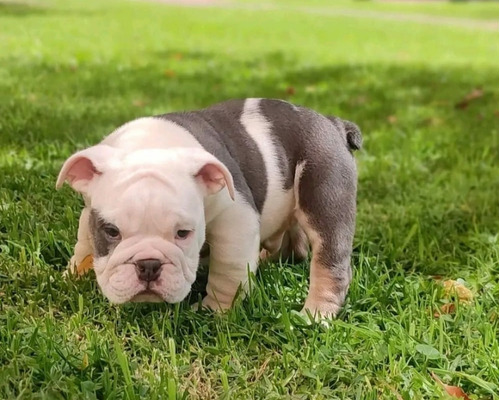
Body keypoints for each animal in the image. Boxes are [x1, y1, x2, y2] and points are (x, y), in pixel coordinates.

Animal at [56, 98, 362, 318]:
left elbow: (228, 270)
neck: (151, 149)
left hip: (324, 189)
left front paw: (215, 310)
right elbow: (84, 244)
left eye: (183, 233)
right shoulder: (89, 211)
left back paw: (316, 314)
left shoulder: (235, 221)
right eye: (110, 231)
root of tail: (333, 123)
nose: (149, 265)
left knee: (329, 260)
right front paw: (73, 275)